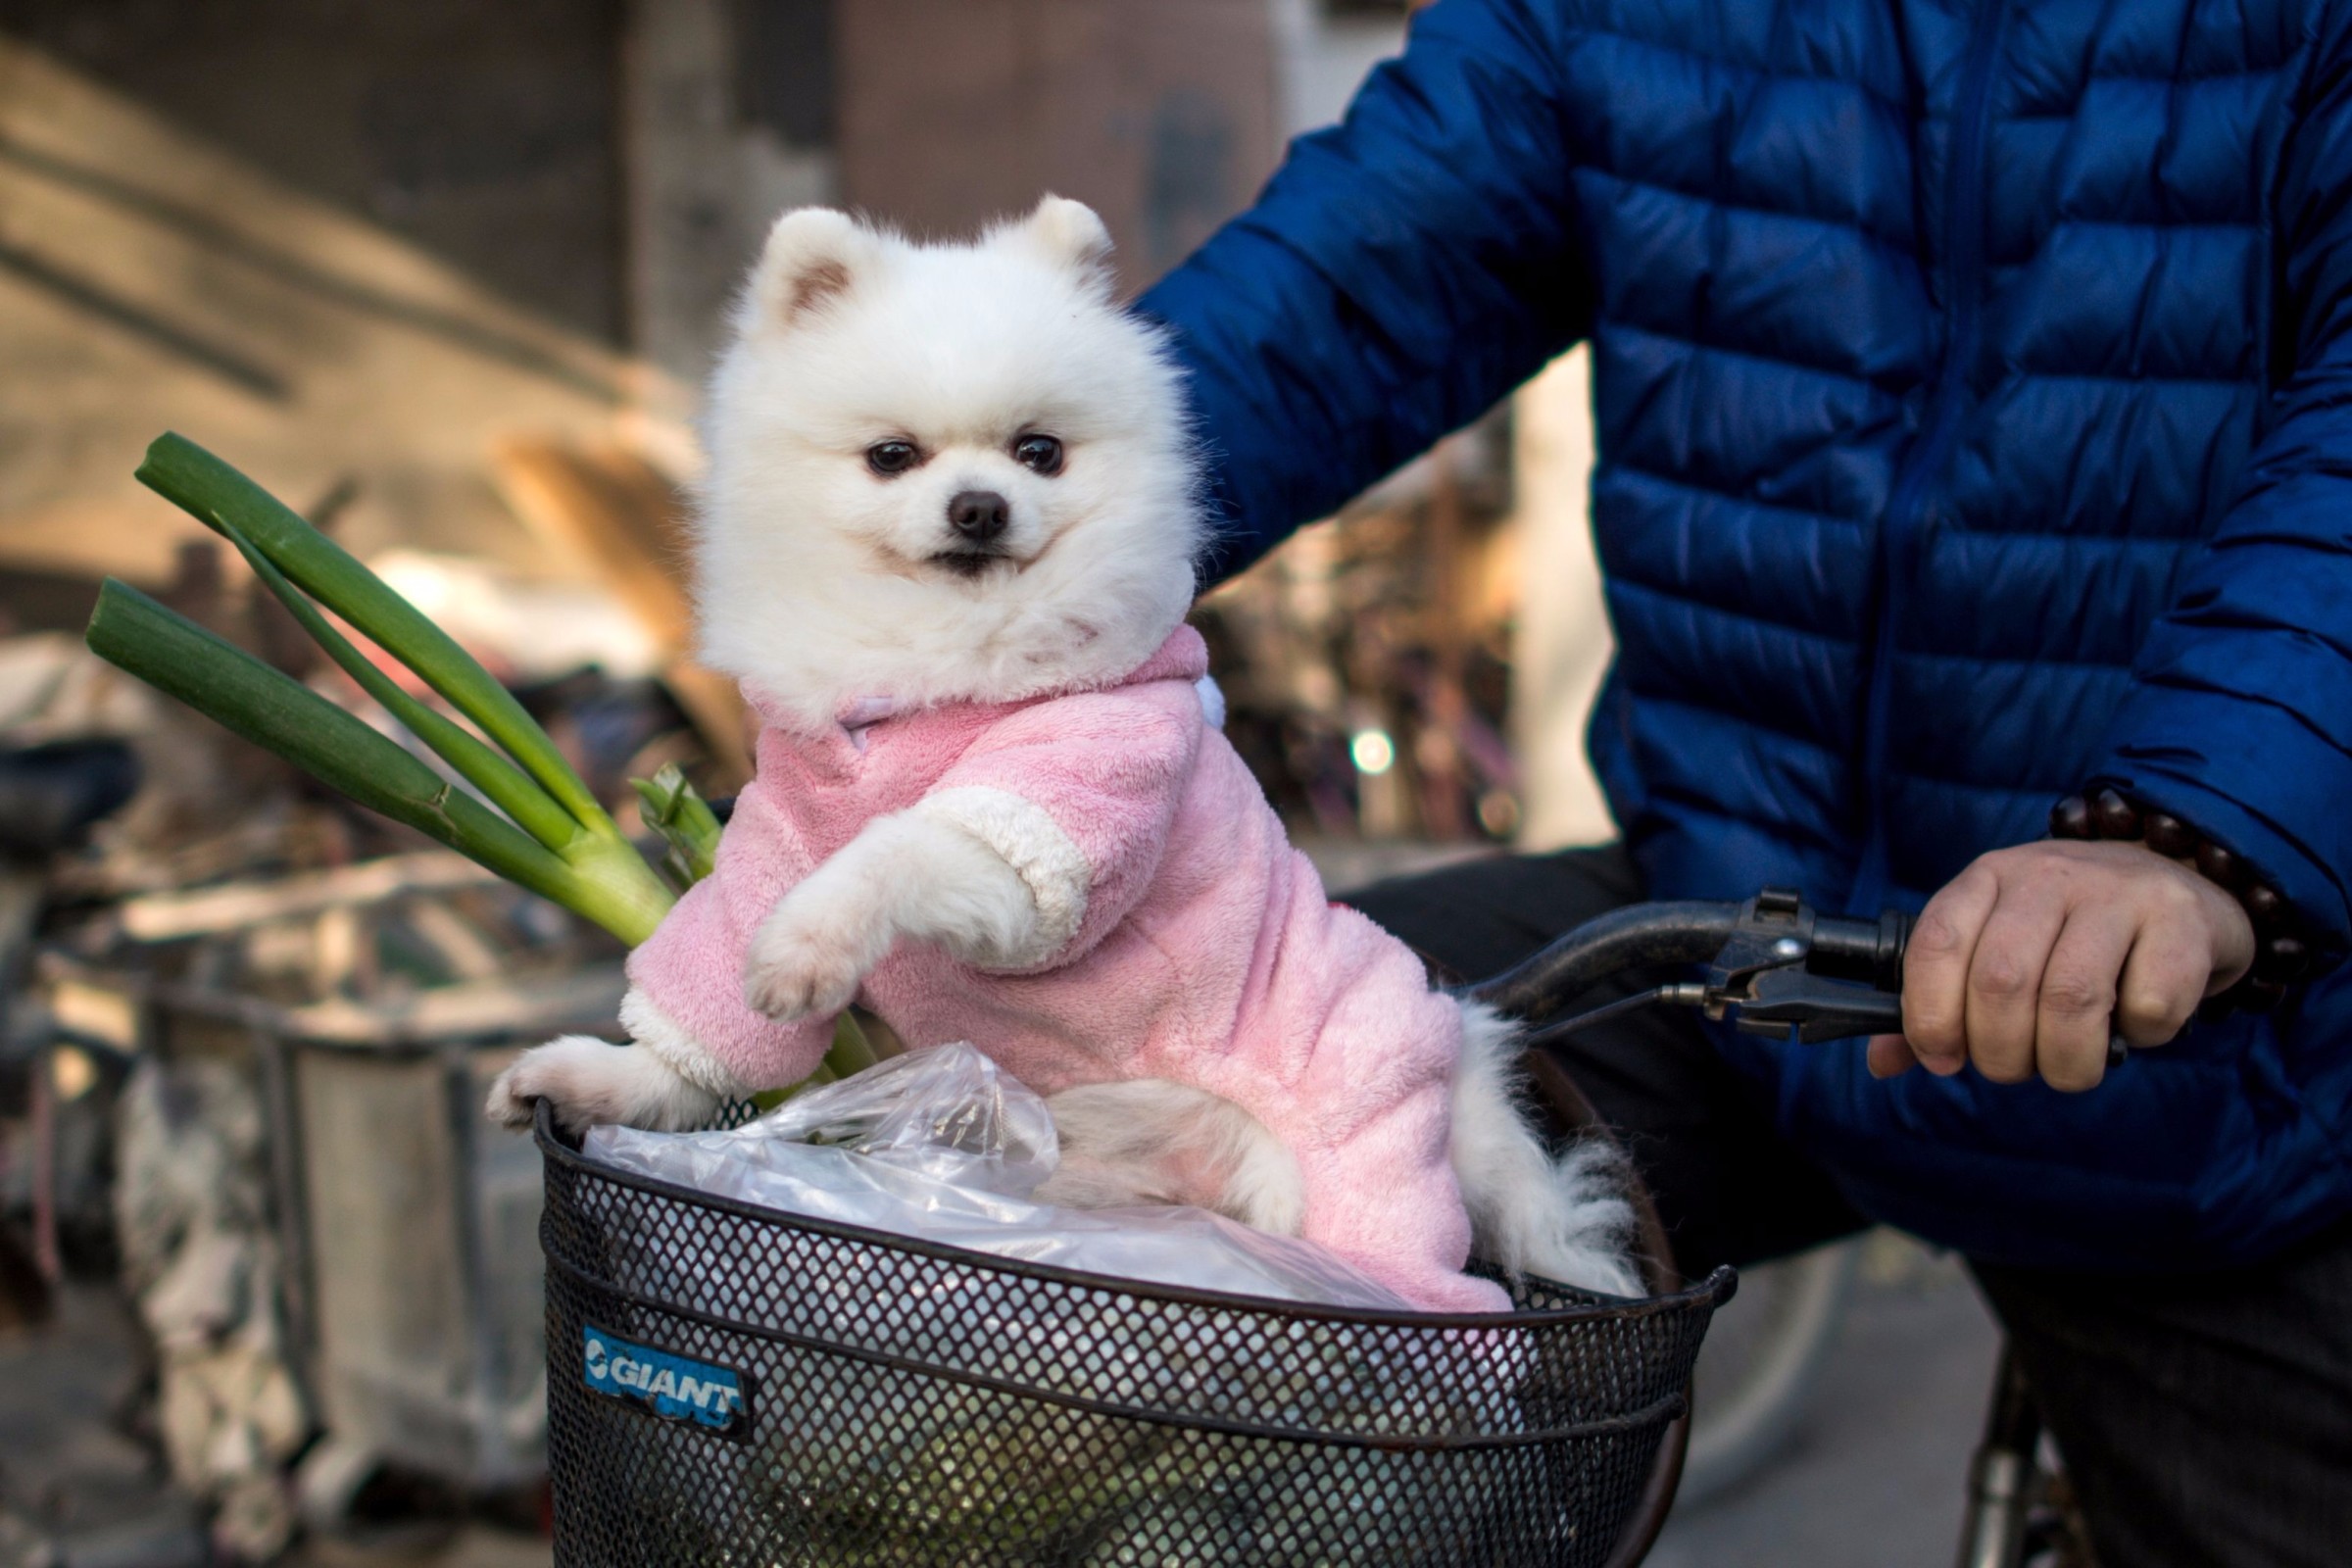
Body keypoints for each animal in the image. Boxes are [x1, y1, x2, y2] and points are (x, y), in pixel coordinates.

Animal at [486, 196, 1637, 1298]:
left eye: (1039, 450)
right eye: (891, 456)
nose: (979, 506)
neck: (935, 668)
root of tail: (1469, 1073)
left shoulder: (1055, 823)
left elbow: (896, 849)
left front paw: (808, 945)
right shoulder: (773, 840)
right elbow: (711, 1011)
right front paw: (613, 1078)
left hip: (1360, 1151)